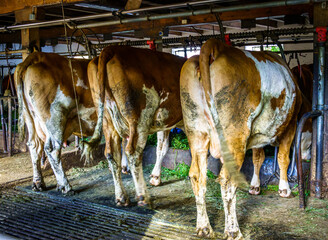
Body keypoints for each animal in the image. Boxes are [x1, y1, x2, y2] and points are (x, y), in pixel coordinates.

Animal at [86, 46, 186, 206]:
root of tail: (111, 49)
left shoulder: (164, 123)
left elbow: (161, 148)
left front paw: (156, 177)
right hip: (139, 120)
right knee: (132, 152)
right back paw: (143, 197)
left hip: (108, 120)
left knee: (111, 153)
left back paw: (121, 197)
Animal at [181, 38, 302, 237]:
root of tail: (216, 48)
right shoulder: (290, 125)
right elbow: (283, 158)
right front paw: (284, 189)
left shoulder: (258, 134)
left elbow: (258, 158)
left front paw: (255, 187)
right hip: (234, 136)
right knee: (228, 180)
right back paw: (233, 231)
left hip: (195, 131)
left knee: (197, 175)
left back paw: (204, 228)